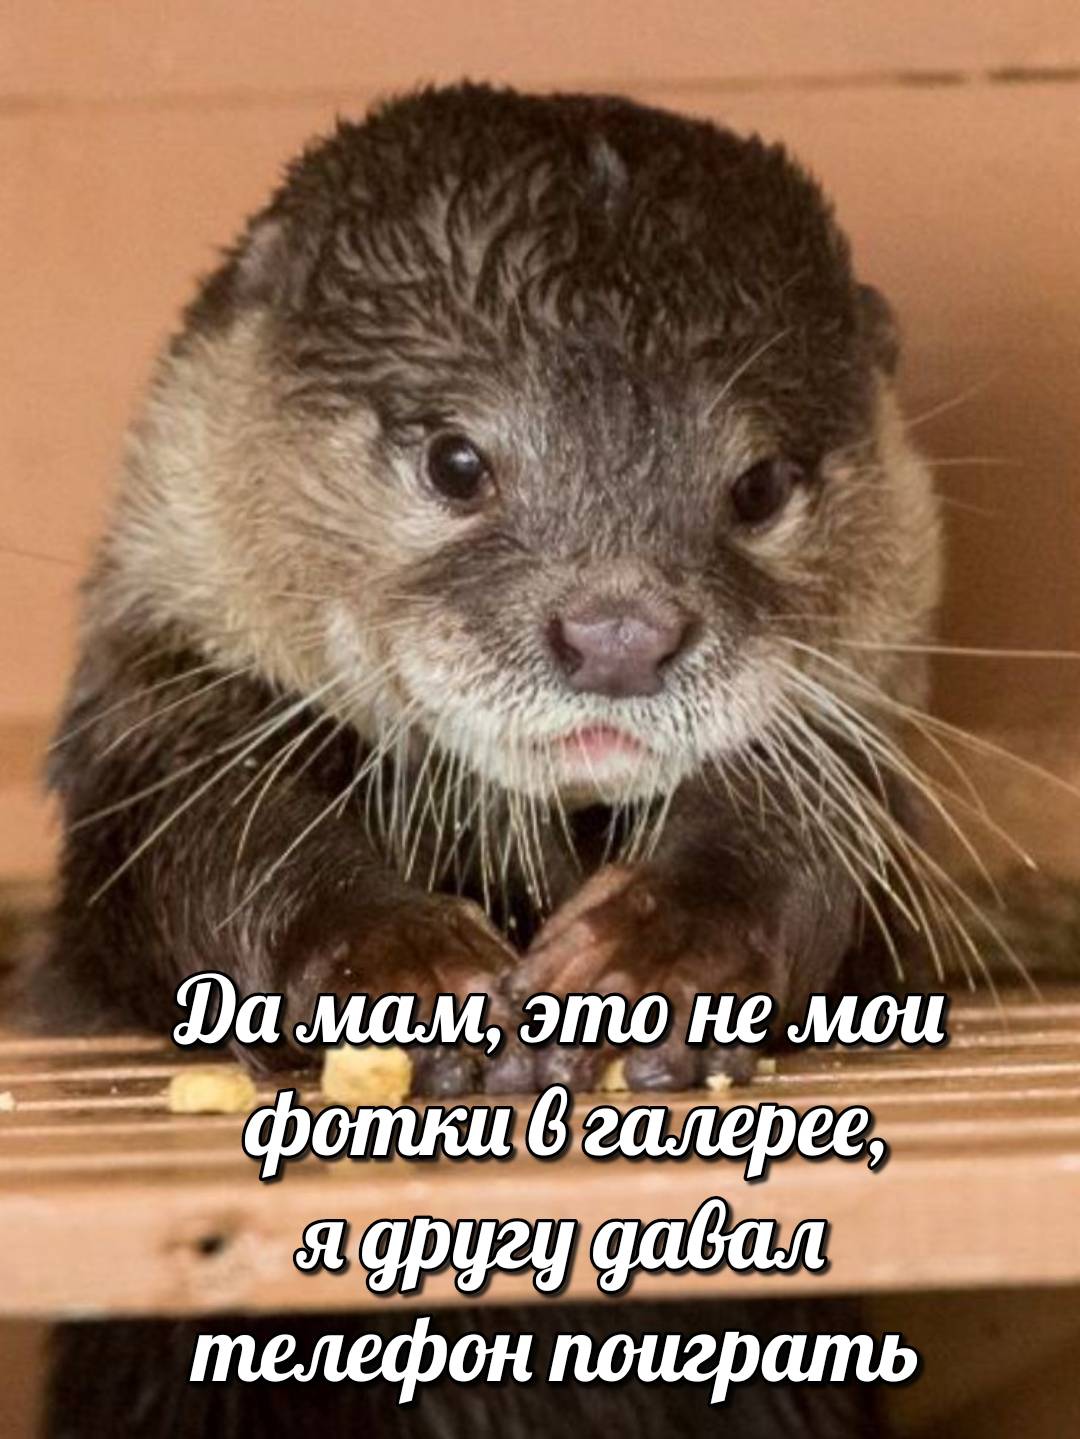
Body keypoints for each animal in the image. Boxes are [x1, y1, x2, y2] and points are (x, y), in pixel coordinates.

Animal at [32, 83, 943, 1435]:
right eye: (455, 460)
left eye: (760, 484)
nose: (619, 633)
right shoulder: (157, 700)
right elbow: (215, 839)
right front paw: (400, 960)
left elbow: (798, 840)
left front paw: (658, 954)